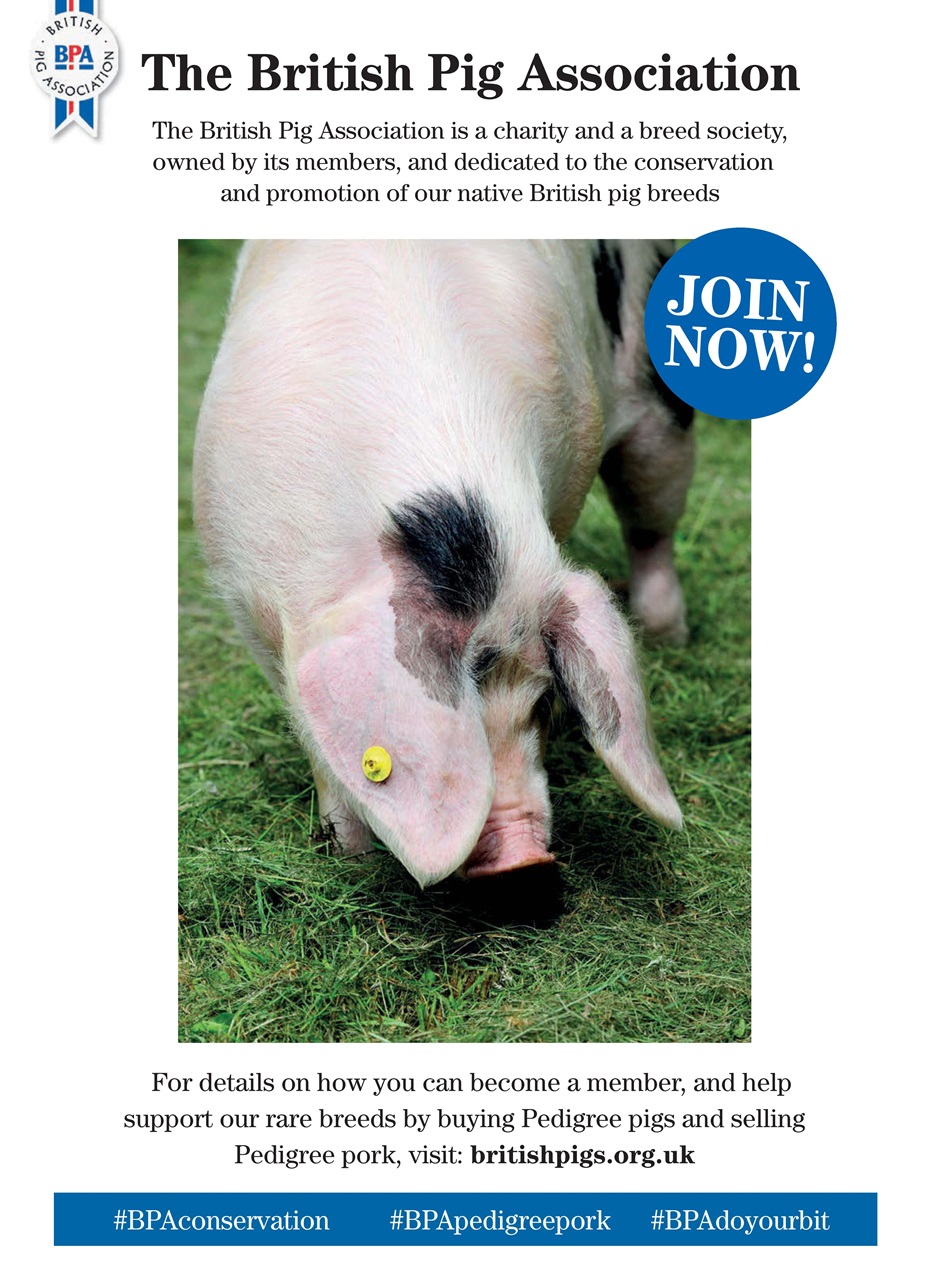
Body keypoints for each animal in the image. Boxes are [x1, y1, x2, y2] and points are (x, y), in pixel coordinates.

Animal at [193, 240, 694, 888]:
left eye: (543, 702)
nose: (521, 860)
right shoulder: (244, 588)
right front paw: (348, 852)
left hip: (657, 394)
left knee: (651, 525)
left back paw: (670, 639)